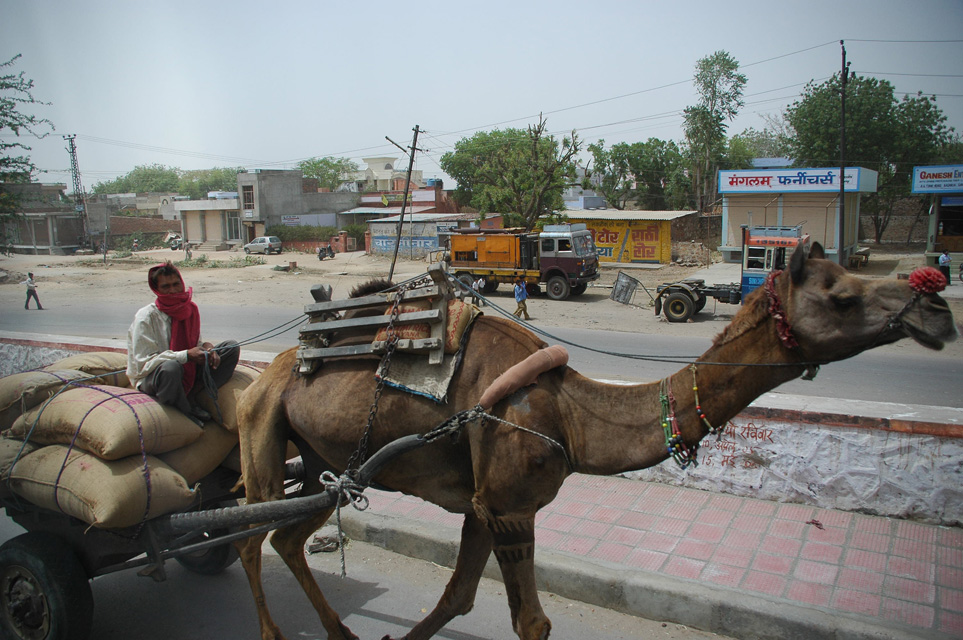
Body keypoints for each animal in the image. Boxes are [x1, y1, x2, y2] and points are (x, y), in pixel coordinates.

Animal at [234, 243, 957, 640]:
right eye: (840, 296)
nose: (935, 306)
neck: (570, 414)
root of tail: (268, 368)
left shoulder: (484, 504)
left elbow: (456, 598)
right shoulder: (509, 505)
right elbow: (530, 621)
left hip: (324, 463)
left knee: (289, 536)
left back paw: (340, 631)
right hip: (262, 430)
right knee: (248, 538)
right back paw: (272, 630)